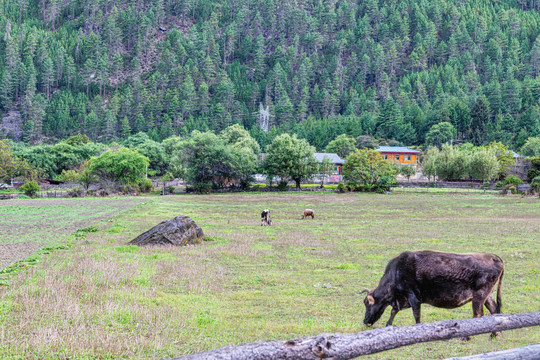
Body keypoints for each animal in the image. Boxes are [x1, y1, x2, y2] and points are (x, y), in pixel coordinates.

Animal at [360, 250, 504, 338]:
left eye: (367, 303)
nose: (365, 321)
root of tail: (493, 257)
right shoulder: (402, 300)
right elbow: (393, 311)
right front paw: (388, 325)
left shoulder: (413, 296)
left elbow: (416, 314)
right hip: (488, 296)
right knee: (494, 311)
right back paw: (494, 334)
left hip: (479, 296)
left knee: (478, 314)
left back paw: (467, 337)